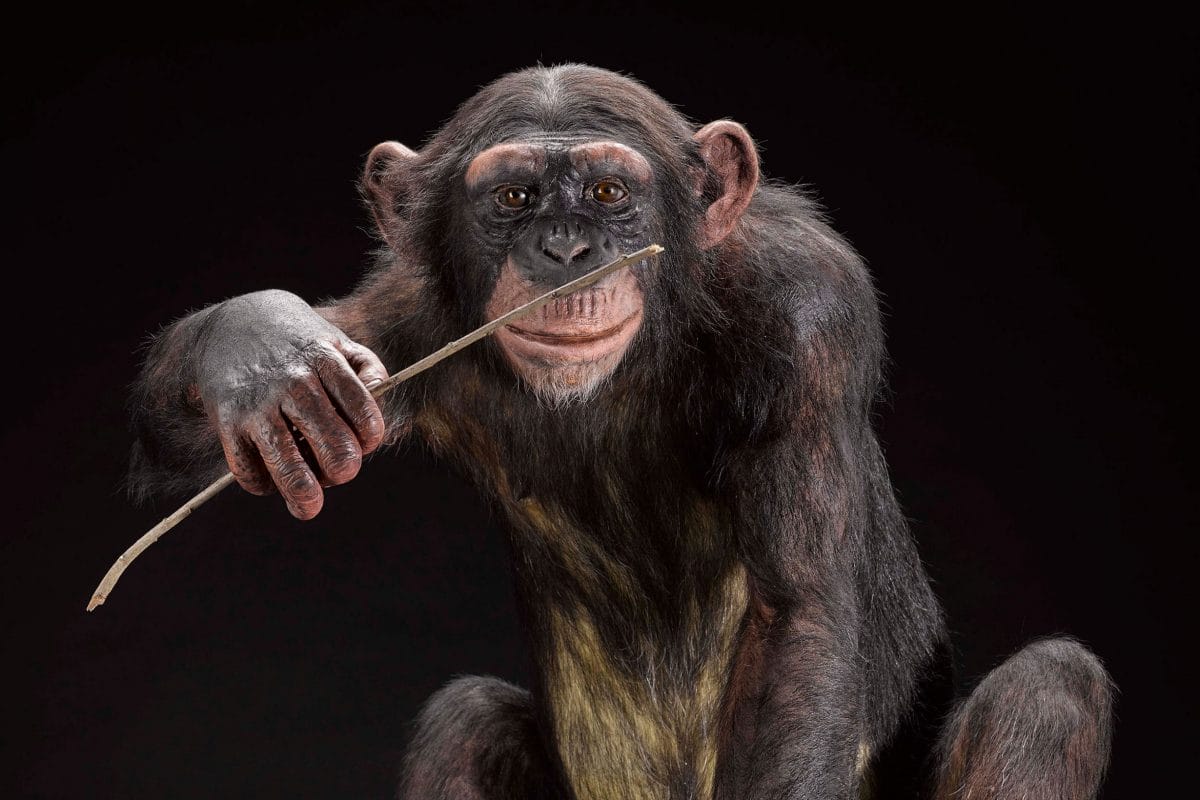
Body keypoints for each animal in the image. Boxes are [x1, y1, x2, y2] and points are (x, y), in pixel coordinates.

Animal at [128, 64, 1113, 799]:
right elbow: (178, 445)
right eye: (514, 197)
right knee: (465, 723)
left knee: (1050, 694)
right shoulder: (405, 320)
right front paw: (261, 355)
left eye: (608, 192)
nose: (566, 248)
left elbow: (798, 620)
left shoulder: (812, 311)